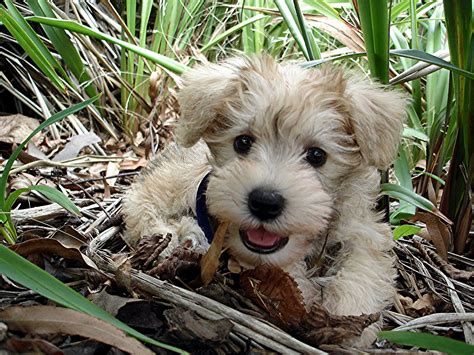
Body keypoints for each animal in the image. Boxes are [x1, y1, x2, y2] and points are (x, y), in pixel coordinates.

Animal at [123, 55, 408, 348]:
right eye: (243, 142)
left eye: (317, 155)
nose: (265, 202)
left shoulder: (363, 228)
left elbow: (364, 267)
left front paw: (350, 316)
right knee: (141, 198)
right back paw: (175, 235)